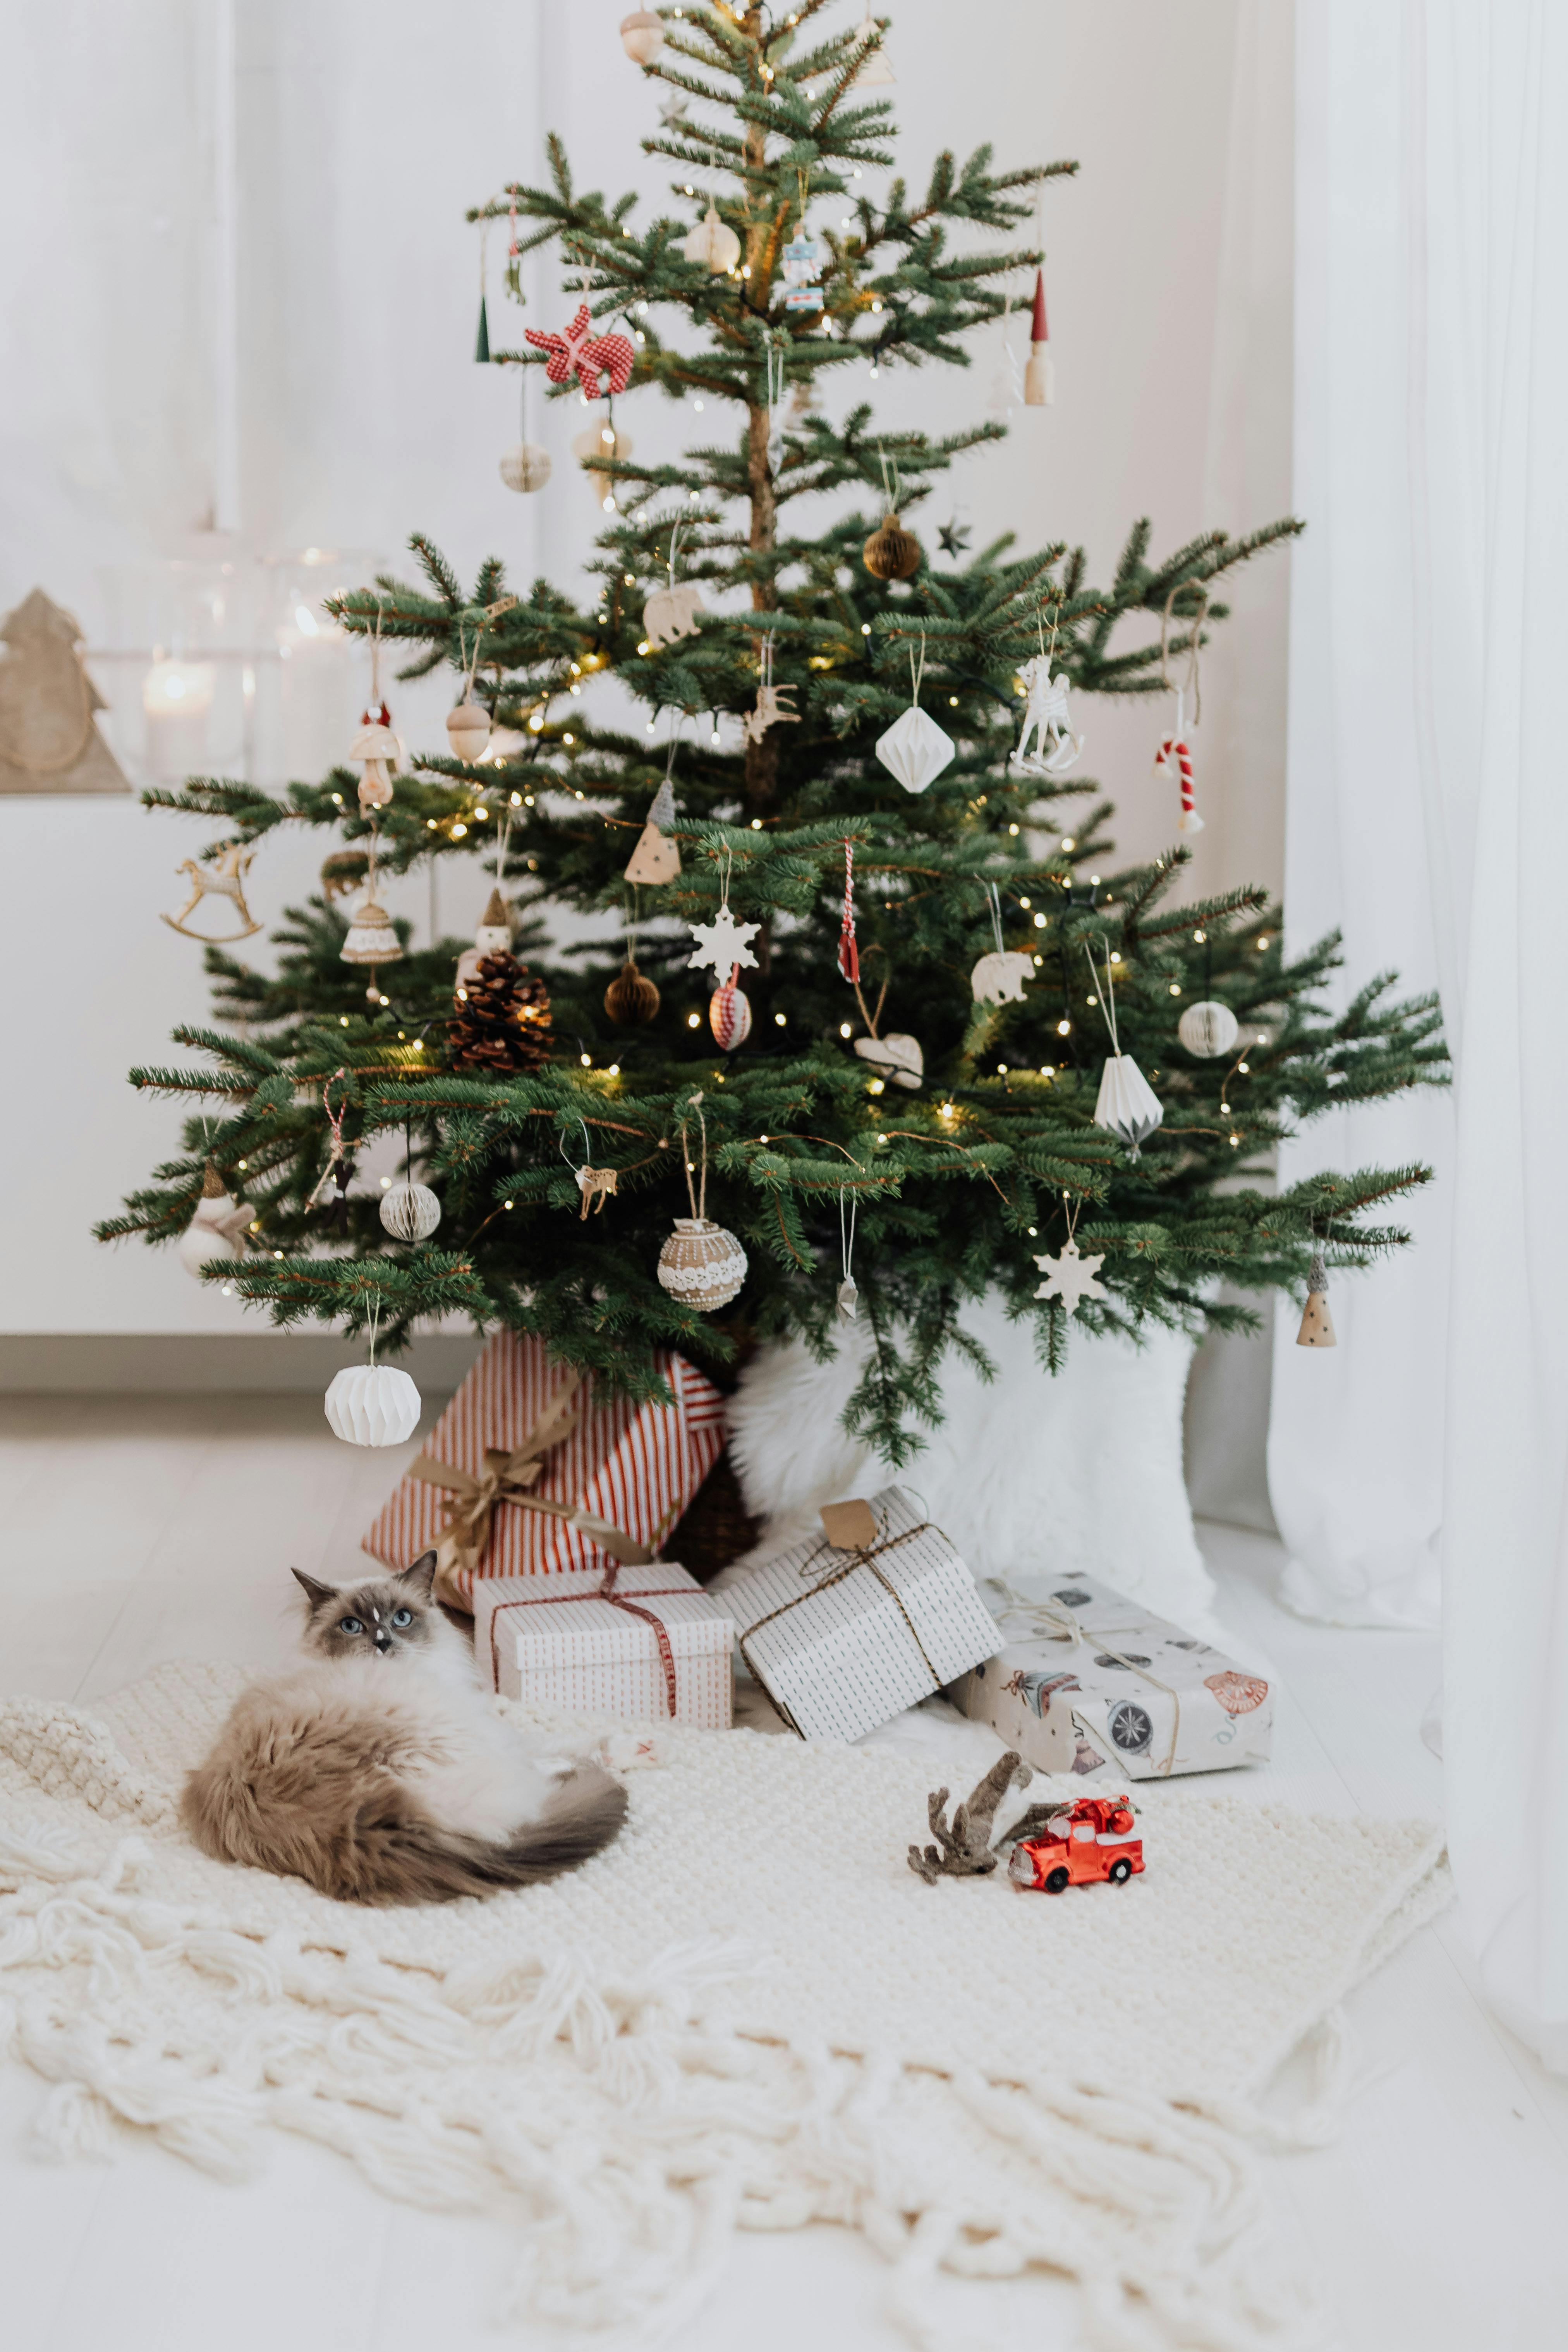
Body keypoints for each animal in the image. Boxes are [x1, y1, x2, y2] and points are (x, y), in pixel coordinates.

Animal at [181, 1552, 630, 1900]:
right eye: (352, 1626)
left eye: (401, 1619)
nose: (382, 1642)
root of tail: (355, 1824)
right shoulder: (484, 1722)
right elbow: (539, 1741)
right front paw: (617, 1748)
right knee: (528, 1788)